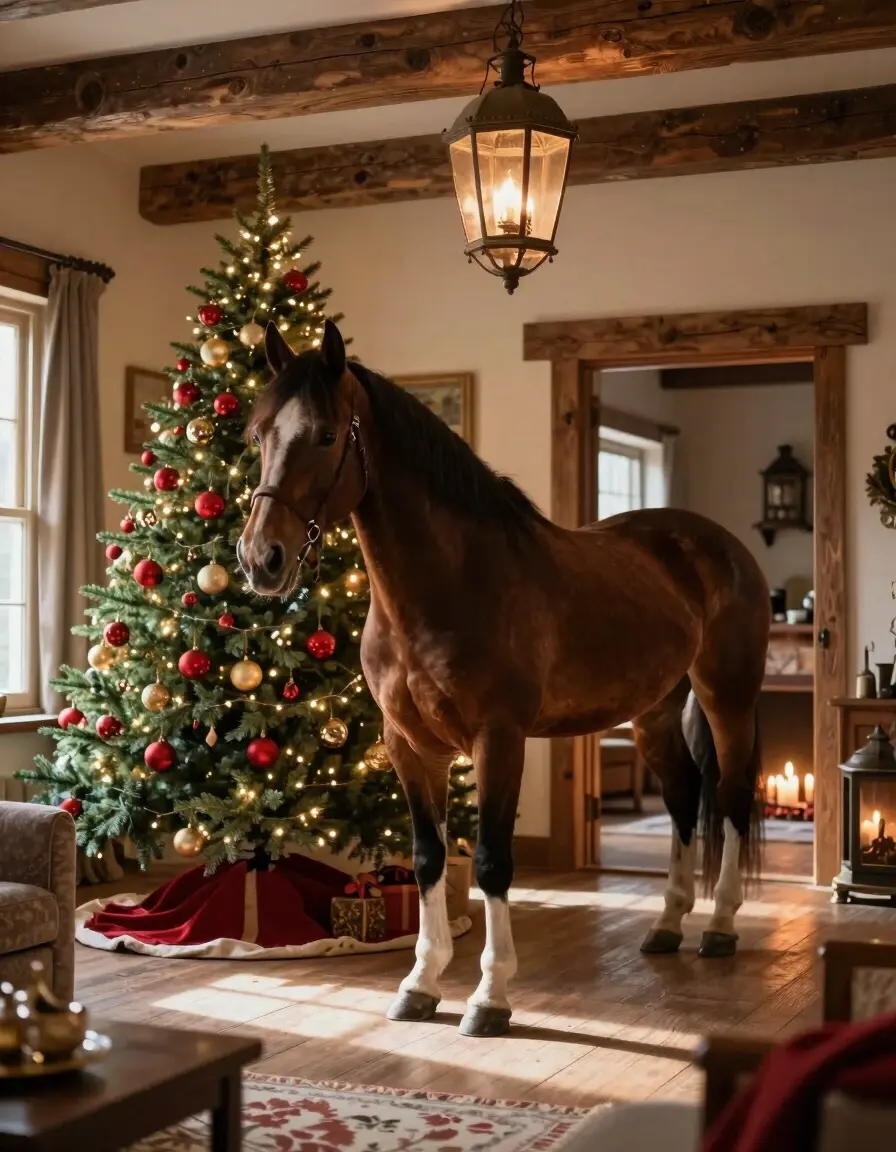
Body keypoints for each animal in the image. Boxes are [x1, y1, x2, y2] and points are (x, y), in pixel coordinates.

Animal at [239, 319, 769, 1039]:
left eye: (324, 435)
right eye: (257, 434)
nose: (260, 559)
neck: (449, 584)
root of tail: (718, 545)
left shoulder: (500, 738)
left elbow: (492, 860)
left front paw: (490, 998)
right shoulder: (409, 745)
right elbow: (429, 857)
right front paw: (420, 983)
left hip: (726, 696)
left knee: (733, 795)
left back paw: (719, 926)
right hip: (656, 709)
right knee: (685, 797)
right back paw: (666, 924)